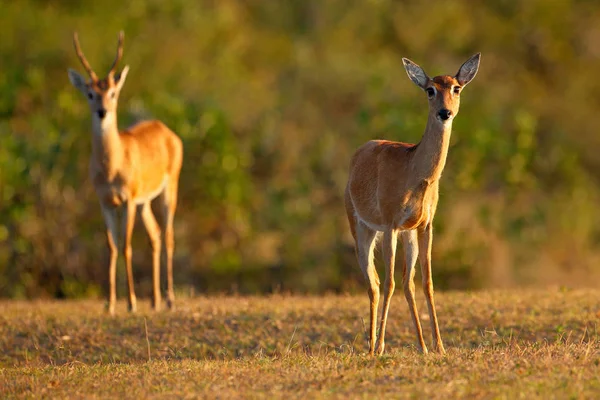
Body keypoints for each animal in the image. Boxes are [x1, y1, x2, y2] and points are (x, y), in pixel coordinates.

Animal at [67, 31, 183, 314]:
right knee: (155, 236)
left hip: (168, 191)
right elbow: (111, 247)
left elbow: (127, 246)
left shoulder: (128, 201)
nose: (102, 112)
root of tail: (167, 132)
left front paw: (131, 303)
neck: (112, 165)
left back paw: (169, 300)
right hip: (145, 204)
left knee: (169, 236)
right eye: (90, 93)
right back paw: (154, 300)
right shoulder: (106, 203)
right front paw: (109, 304)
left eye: (112, 92)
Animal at [344, 52, 480, 354]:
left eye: (456, 88)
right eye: (430, 89)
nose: (445, 113)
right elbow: (389, 283)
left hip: (407, 235)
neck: (415, 172)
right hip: (364, 229)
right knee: (374, 282)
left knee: (406, 283)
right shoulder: (391, 225)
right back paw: (371, 346)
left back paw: (421, 345)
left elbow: (426, 282)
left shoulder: (425, 226)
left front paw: (439, 346)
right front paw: (382, 346)